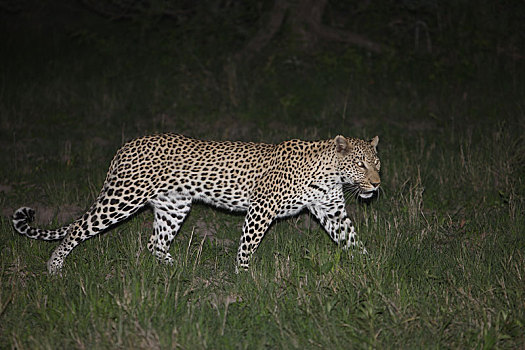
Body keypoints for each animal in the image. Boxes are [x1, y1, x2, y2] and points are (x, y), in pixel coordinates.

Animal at [11, 133, 380, 274]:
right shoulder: (261, 209)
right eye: (361, 164)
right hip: (122, 198)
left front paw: (370, 268)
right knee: (77, 227)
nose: (376, 184)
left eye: (377, 163)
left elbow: (352, 240)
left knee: (154, 242)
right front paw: (244, 277)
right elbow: (247, 245)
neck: (331, 174)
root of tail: (127, 145)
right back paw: (54, 266)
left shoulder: (332, 212)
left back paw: (176, 270)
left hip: (173, 206)